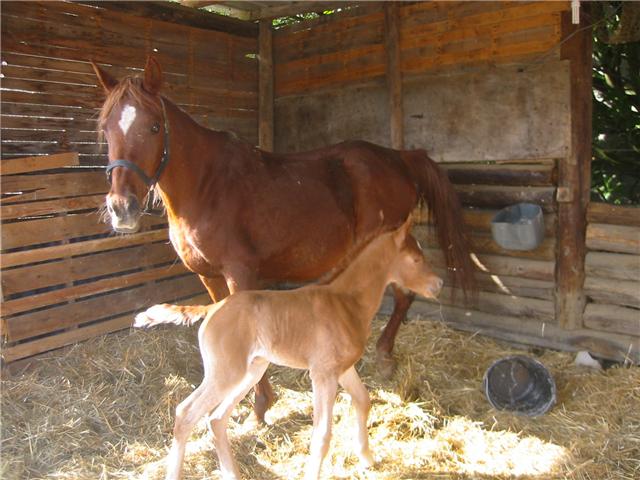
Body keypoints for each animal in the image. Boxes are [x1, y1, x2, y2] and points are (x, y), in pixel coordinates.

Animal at [94, 56, 476, 422]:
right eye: (106, 128)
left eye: (154, 126)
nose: (122, 208)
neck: (207, 186)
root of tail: (398, 158)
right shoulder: (209, 276)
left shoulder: (240, 274)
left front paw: (261, 405)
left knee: (403, 295)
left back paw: (384, 356)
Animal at [136, 218, 442, 480]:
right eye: (416, 259)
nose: (438, 284)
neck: (345, 302)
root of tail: (213, 307)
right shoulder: (322, 375)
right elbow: (322, 435)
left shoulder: (344, 370)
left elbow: (363, 400)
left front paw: (367, 458)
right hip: (225, 374)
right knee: (186, 413)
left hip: (251, 371)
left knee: (217, 419)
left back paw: (232, 473)